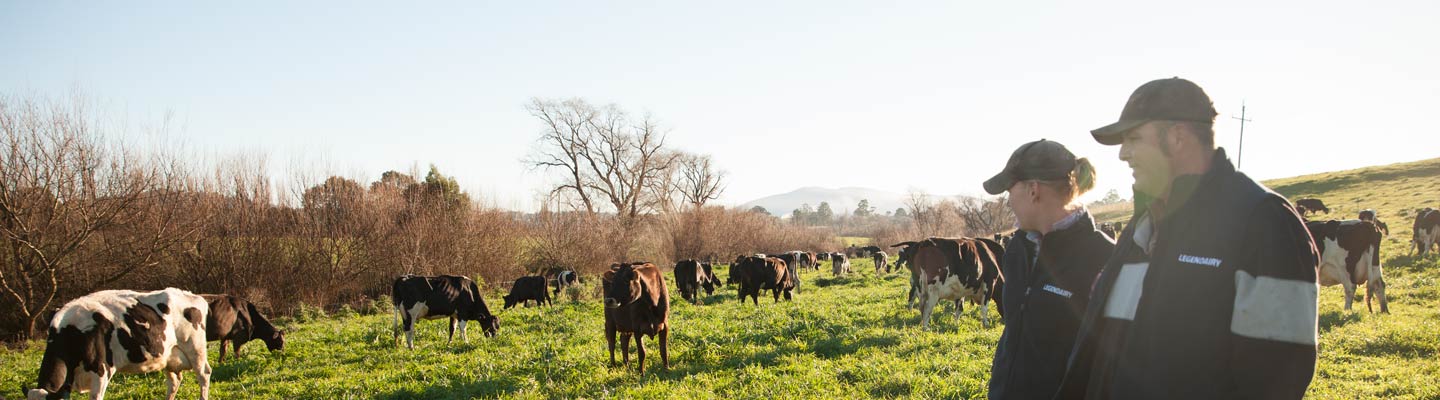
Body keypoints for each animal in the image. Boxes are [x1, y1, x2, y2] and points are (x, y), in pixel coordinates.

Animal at [25, 288, 211, 400]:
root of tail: (194, 295)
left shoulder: (101, 372)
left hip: (195, 349)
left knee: (204, 375)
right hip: (168, 355)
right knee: (174, 381)